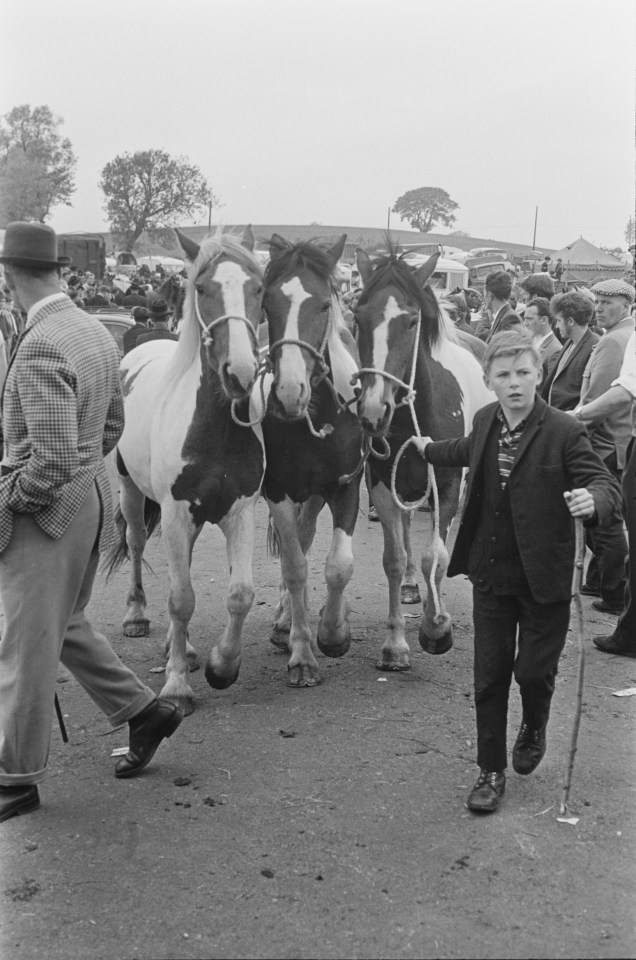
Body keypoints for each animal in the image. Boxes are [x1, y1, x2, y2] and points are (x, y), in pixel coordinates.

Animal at [105, 229, 264, 716]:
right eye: (203, 288)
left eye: (258, 288)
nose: (241, 373)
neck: (213, 431)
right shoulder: (175, 514)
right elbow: (180, 599)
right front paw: (176, 684)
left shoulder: (240, 513)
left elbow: (240, 594)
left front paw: (221, 666)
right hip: (131, 494)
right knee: (137, 545)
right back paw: (137, 616)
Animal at [352, 244, 492, 672]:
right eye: (357, 316)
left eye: (412, 321)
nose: (373, 410)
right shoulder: (382, 486)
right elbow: (395, 559)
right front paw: (395, 644)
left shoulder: (446, 486)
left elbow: (437, 558)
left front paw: (435, 628)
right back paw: (414, 587)